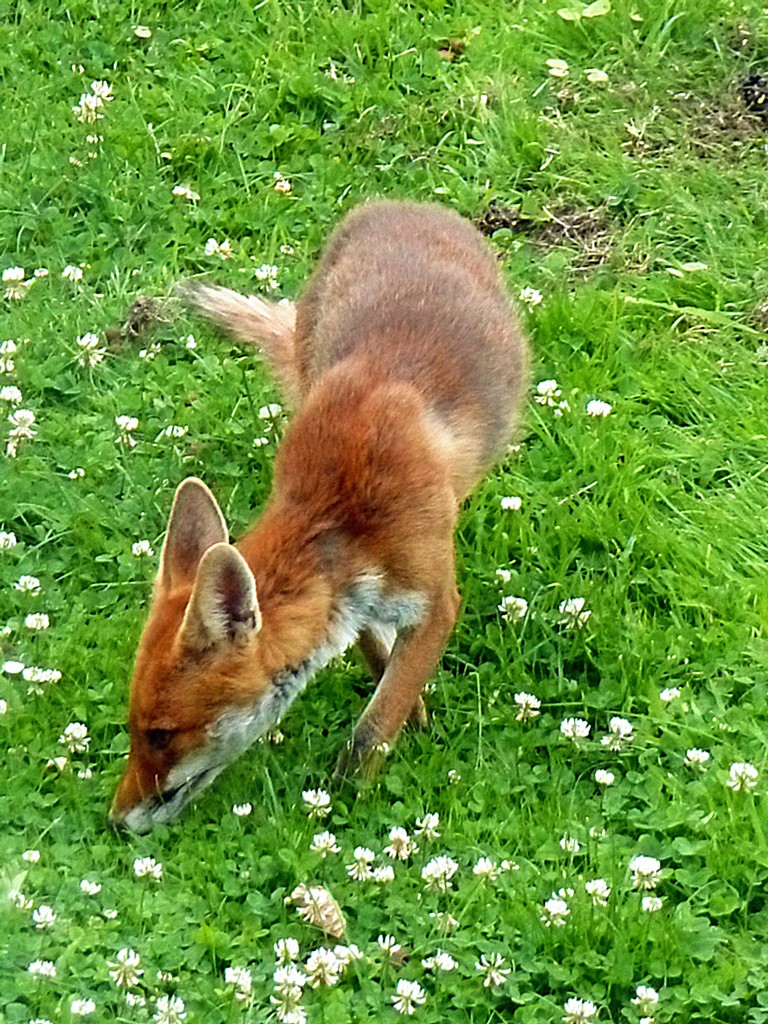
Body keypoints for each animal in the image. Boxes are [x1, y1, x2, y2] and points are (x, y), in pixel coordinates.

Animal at [109, 200, 529, 833]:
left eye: (160, 734)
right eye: (133, 729)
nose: (115, 821)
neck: (339, 515)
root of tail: (402, 203)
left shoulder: (434, 598)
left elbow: (373, 726)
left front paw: (351, 793)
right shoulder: (353, 601)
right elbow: (377, 655)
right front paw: (412, 709)